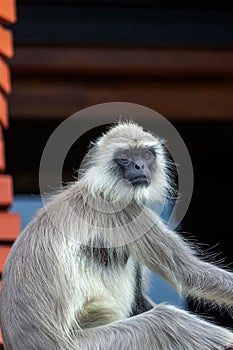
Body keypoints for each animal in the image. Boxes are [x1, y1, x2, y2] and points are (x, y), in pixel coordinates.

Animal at [0, 121, 233, 350]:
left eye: (145, 155)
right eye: (125, 158)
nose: (139, 166)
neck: (103, 188)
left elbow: (139, 300)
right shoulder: (125, 210)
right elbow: (187, 273)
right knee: (166, 321)